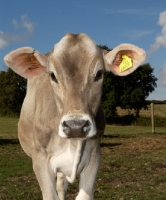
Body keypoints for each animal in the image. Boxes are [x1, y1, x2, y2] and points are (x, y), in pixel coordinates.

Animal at [4, 33, 145, 200]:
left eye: (99, 74)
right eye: (53, 75)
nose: (76, 127)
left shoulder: (94, 155)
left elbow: (84, 195)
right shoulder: (40, 158)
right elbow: (50, 195)